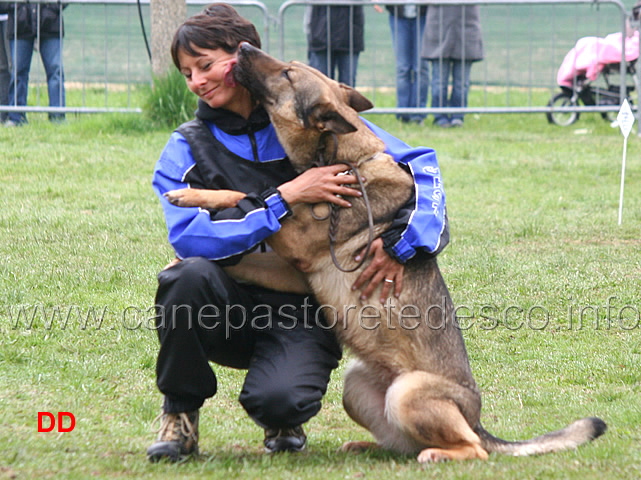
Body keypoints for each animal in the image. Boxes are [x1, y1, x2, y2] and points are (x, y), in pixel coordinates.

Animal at [165, 43, 604, 464]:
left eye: (288, 73)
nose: (241, 47)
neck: (345, 159)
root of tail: (477, 422)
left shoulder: (295, 241)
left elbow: (247, 195)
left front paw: (191, 195)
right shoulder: (295, 270)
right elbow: (247, 254)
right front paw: (188, 255)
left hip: (406, 394)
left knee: (468, 449)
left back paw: (438, 454)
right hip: (355, 386)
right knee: (398, 443)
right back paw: (369, 447)